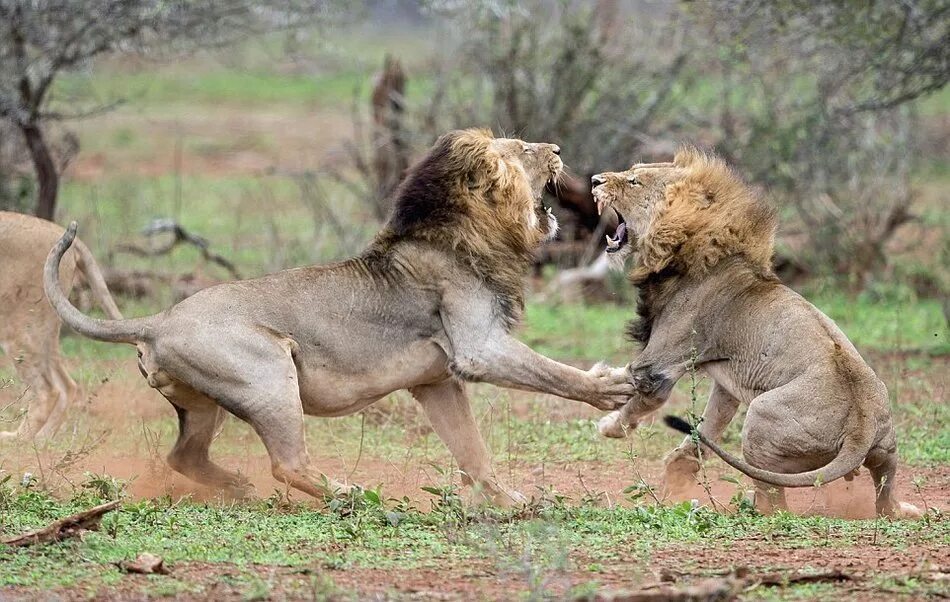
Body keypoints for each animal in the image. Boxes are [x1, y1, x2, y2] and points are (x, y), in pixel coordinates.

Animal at [0, 210, 124, 436]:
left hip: (17, 327)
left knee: (48, 390)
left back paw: (18, 439)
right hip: (46, 326)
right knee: (68, 386)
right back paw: (43, 439)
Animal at [46, 130, 640, 502]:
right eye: (524, 149)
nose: (559, 149)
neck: (471, 232)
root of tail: (158, 319)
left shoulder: (437, 381)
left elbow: (472, 451)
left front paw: (510, 501)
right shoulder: (479, 348)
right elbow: (553, 372)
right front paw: (611, 387)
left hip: (204, 403)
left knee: (182, 457)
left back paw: (236, 486)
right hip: (269, 376)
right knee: (287, 464)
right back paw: (350, 494)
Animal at [596, 149, 924, 516]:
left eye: (634, 181)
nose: (594, 180)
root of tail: (860, 429)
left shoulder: (659, 364)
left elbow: (638, 397)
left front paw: (609, 423)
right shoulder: (726, 384)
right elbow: (706, 428)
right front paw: (676, 474)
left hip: (760, 419)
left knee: (774, 501)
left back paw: (748, 507)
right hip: (887, 450)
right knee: (884, 495)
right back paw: (902, 509)